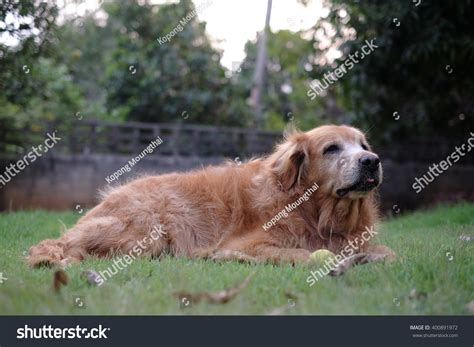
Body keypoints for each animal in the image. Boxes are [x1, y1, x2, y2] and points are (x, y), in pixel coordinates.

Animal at [27, 125, 394, 270]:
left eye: (363, 144)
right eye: (332, 148)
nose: (372, 161)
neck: (315, 211)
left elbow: (389, 253)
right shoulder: (250, 241)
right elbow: (304, 255)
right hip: (148, 231)